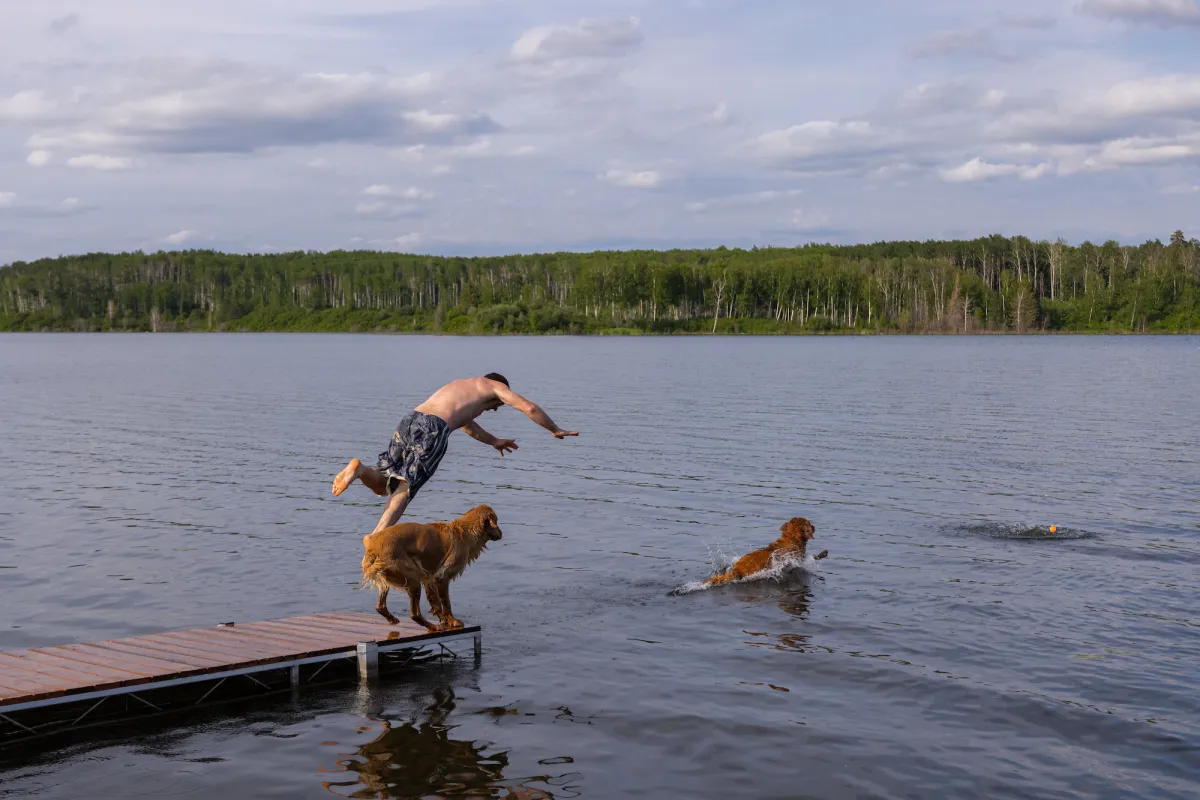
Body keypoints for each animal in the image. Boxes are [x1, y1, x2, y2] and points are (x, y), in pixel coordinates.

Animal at [360, 506, 501, 633]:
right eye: (497, 521)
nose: (501, 533)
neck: (466, 532)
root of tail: (373, 547)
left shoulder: (430, 578)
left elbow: (436, 603)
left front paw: (443, 620)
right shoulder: (442, 577)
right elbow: (446, 603)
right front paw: (453, 621)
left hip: (389, 578)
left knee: (380, 606)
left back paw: (392, 619)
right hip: (413, 578)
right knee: (414, 614)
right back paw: (433, 627)